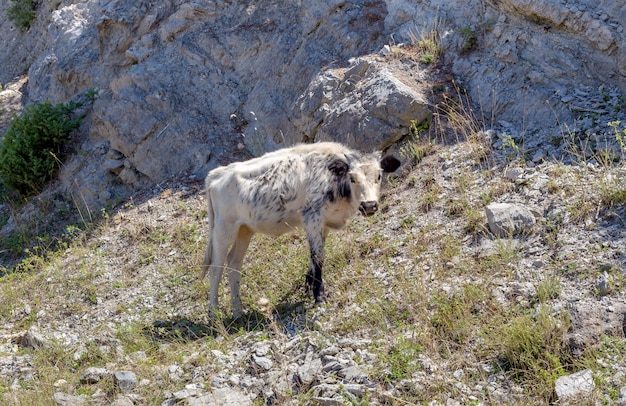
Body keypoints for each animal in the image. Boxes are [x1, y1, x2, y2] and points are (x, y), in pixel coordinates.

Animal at [202, 141, 402, 318]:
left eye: (379, 176)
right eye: (352, 178)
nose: (369, 205)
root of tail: (217, 174)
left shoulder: (323, 223)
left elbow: (315, 256)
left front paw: (309, 286)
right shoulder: (312, 216)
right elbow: (318, 255)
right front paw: (319, 296)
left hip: (244, 229)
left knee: (234, 264)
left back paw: (238, 312)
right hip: (223, 229)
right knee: (216, 268)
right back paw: (213, 314)